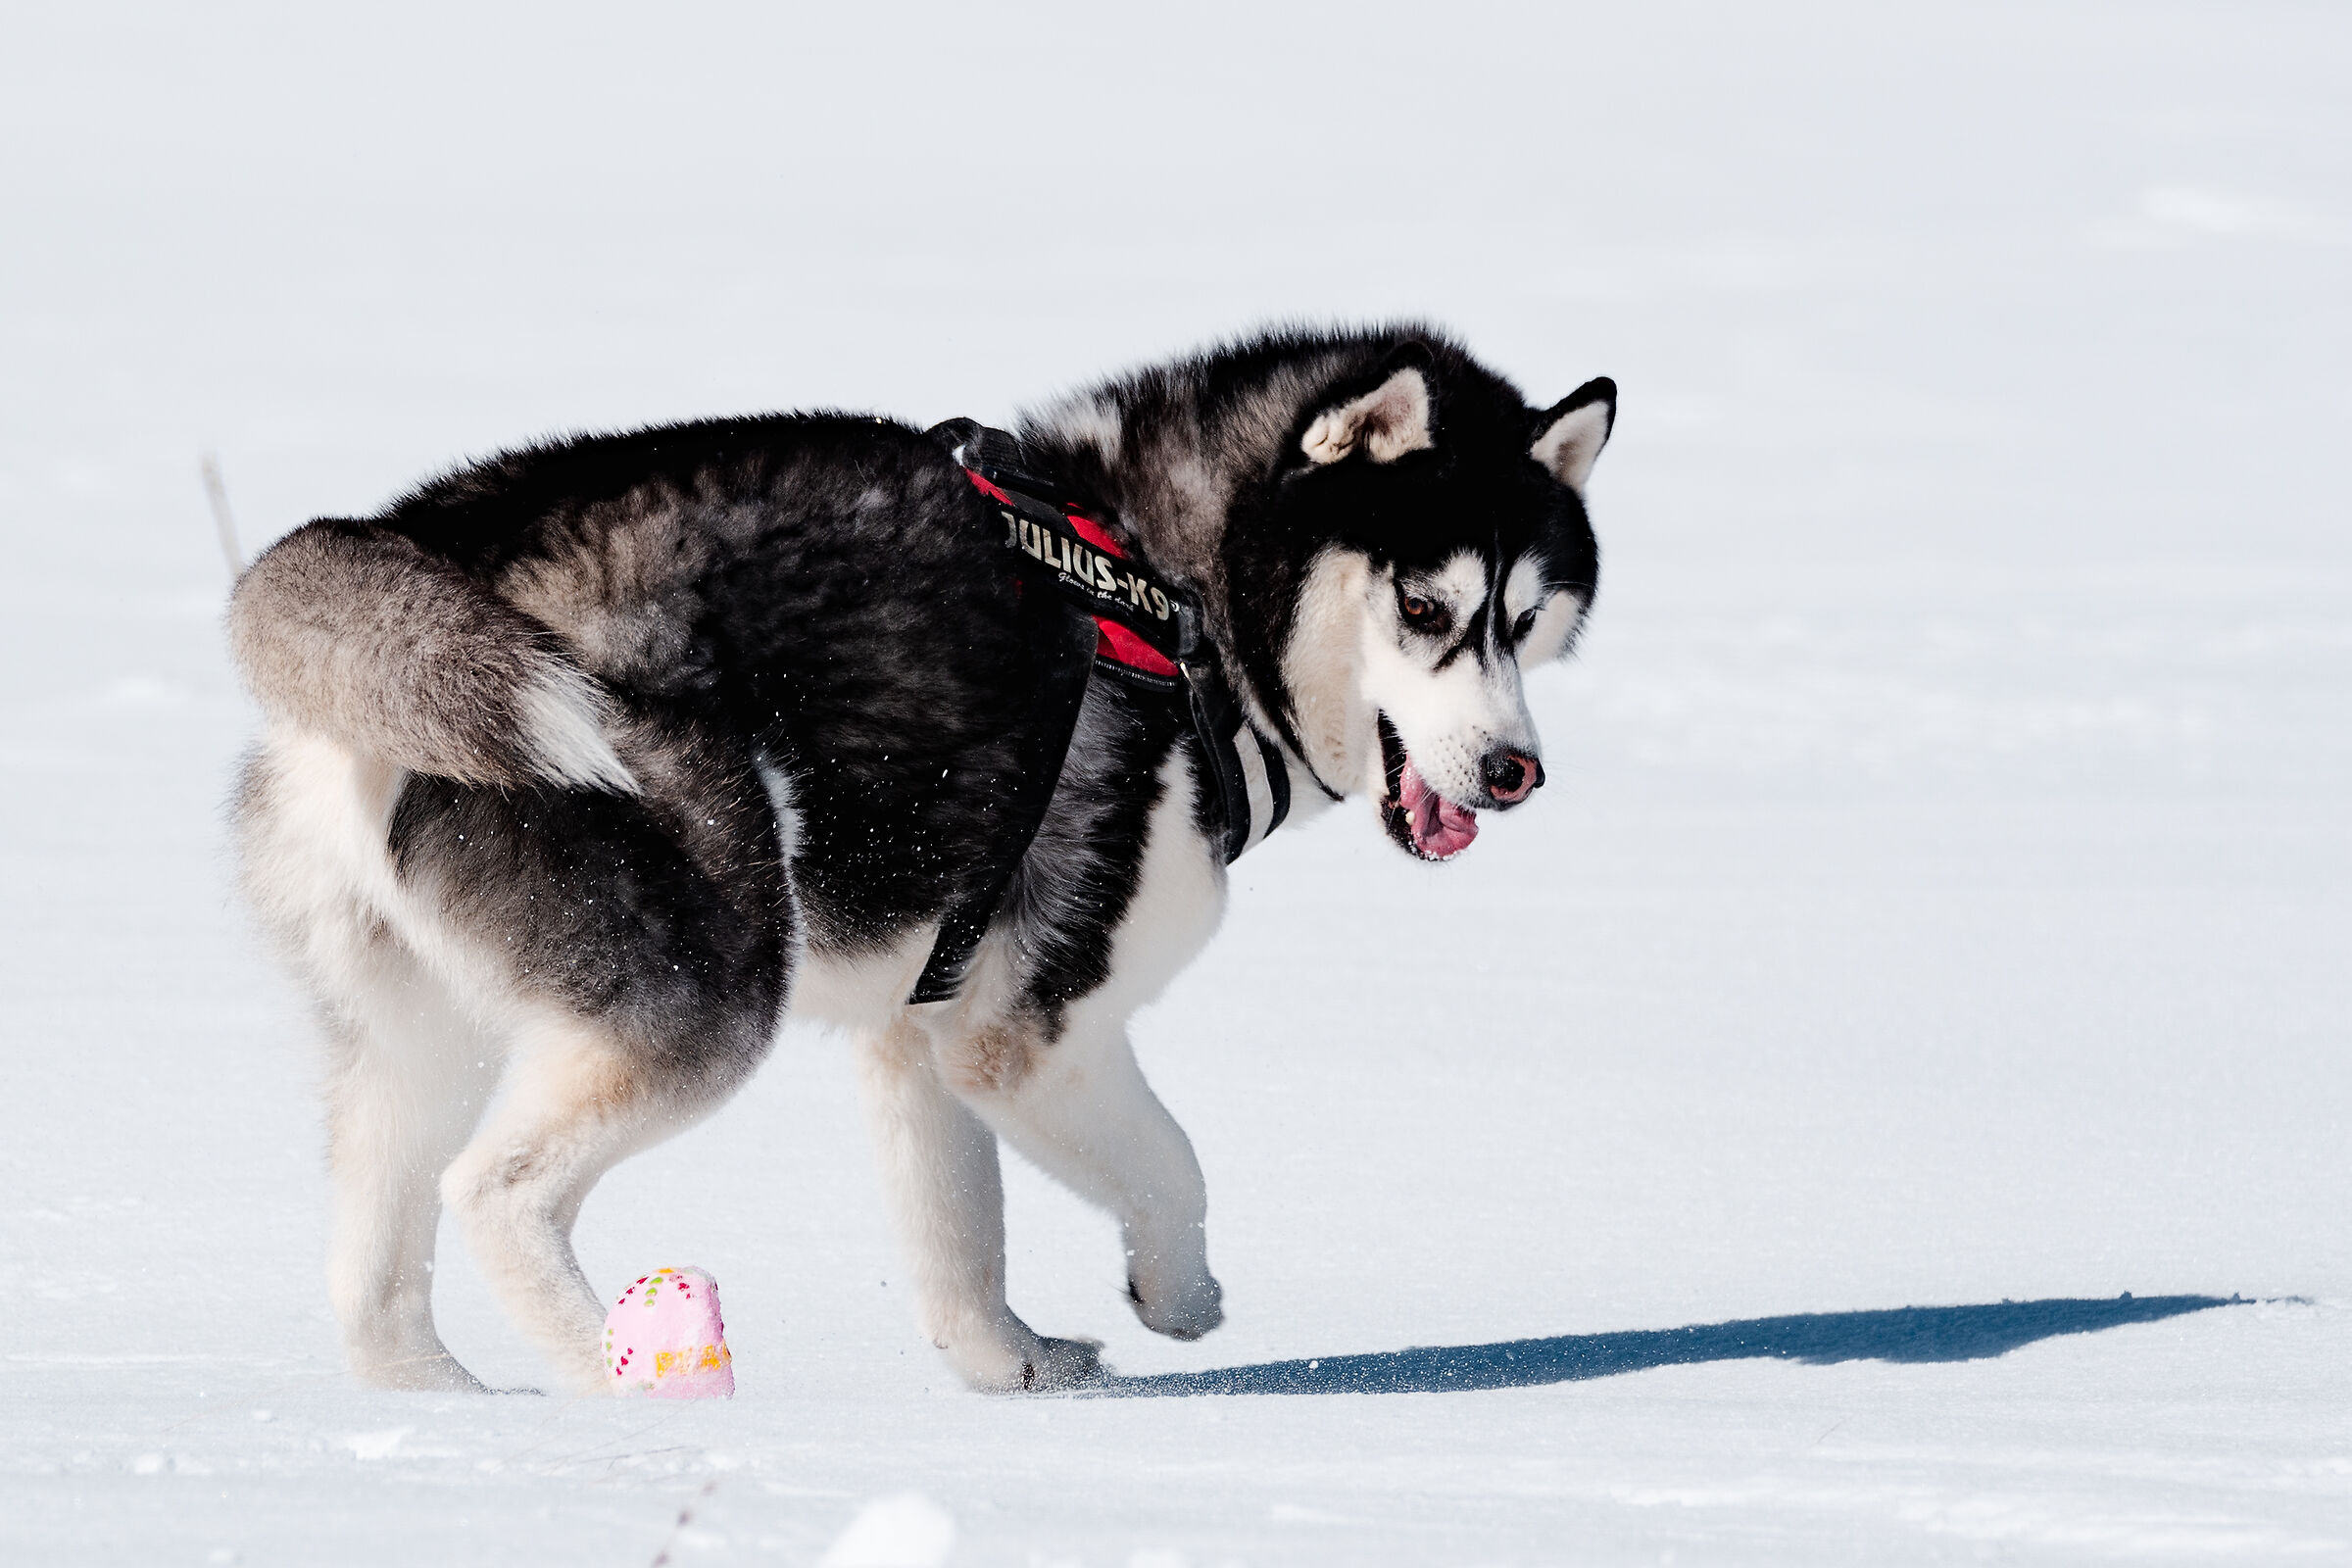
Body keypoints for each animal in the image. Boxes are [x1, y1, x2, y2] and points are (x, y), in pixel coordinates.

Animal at [227, 325, 1613, 1394]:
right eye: (1424, 608)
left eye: (1527, 617)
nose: (1514, 771)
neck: (1177, 606)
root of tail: (442, 546)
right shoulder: (1031, 1030)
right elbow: (1173, 1163)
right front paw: (1179, 1293)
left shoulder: (926, 1019)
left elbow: (960, 1238)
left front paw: (1011, 1363)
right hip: (710, 987)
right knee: (497, 1194)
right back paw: (637, 1384)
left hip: (413, 1037)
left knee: (378, 1275)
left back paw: (454, 1410)